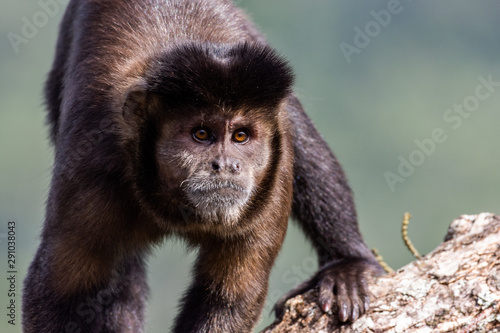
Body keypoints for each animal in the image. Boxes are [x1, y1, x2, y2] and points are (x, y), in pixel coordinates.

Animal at [22, 0, 382, 332]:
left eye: (240, 136)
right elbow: (59, 295)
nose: (226, 165)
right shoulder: (93, 171)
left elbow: (230, 297)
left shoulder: (271, 181)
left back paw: (348, 264)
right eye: (201, 134)